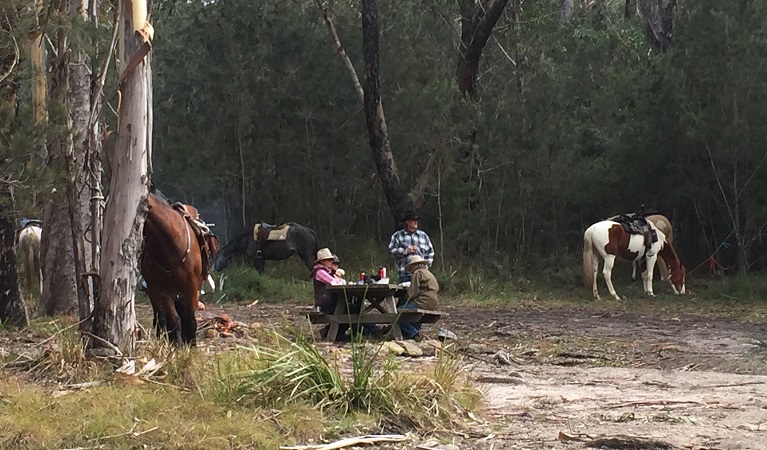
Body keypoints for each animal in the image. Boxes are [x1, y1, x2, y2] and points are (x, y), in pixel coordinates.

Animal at [140, 193, 218, 344]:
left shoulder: (192, 288)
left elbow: (190, 319)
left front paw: (190, 344)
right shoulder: (163, 290)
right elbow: (174, 319)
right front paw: (177, 343)